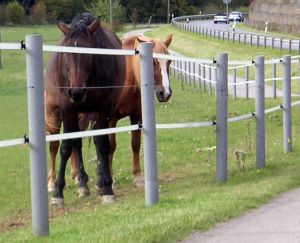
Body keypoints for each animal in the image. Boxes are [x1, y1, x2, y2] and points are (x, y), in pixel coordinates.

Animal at [45, 11, 125, 205]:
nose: (77, 92)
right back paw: (82, 183)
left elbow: (102, 144)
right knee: (76, 142)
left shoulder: (104, 109)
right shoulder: (68, 109)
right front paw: (58, 192)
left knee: (95, 138)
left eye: (88, 53)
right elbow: (66, 146)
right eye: (66, 54)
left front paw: (107, 188)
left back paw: (100, 181)